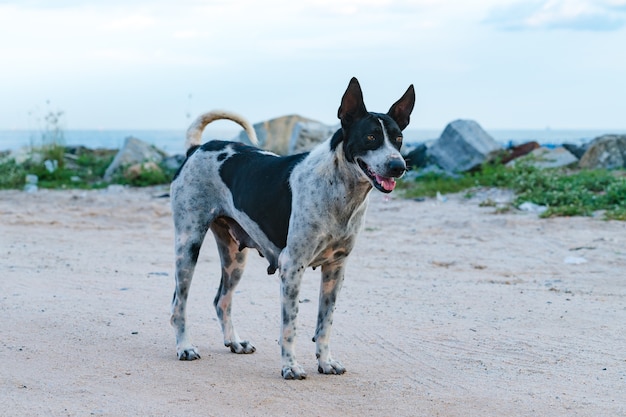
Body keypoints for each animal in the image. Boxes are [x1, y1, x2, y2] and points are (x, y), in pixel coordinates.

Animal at [171, 76, 414, 378]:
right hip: (188, 245)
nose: (398, 166)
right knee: (178, 305)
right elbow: (290, 326)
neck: (339, 192)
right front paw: (290, 366)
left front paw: (325, 361)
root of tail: (196, 149)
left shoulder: (336, 269)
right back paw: (185, 347)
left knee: (221, 300)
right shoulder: (292, 267)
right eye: (370, 137)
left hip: (234, 257)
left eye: (399, 139)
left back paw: (234, 342)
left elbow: (325, 324)